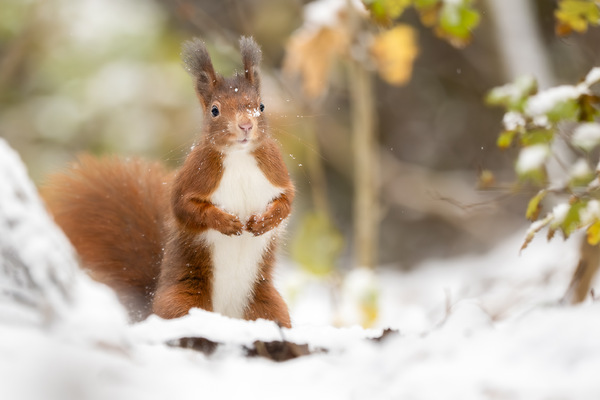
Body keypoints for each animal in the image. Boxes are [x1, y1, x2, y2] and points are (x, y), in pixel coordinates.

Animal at [41, 36, 294, 326]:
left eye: (261, 106)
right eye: (215, 110)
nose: (245, 126)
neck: (239, 158)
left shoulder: (277, 174)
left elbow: (287, 202)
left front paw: (264, 221)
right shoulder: (192, 179)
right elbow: (185, 208)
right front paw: (226, 222)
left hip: (267, 304)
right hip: (181, 301)